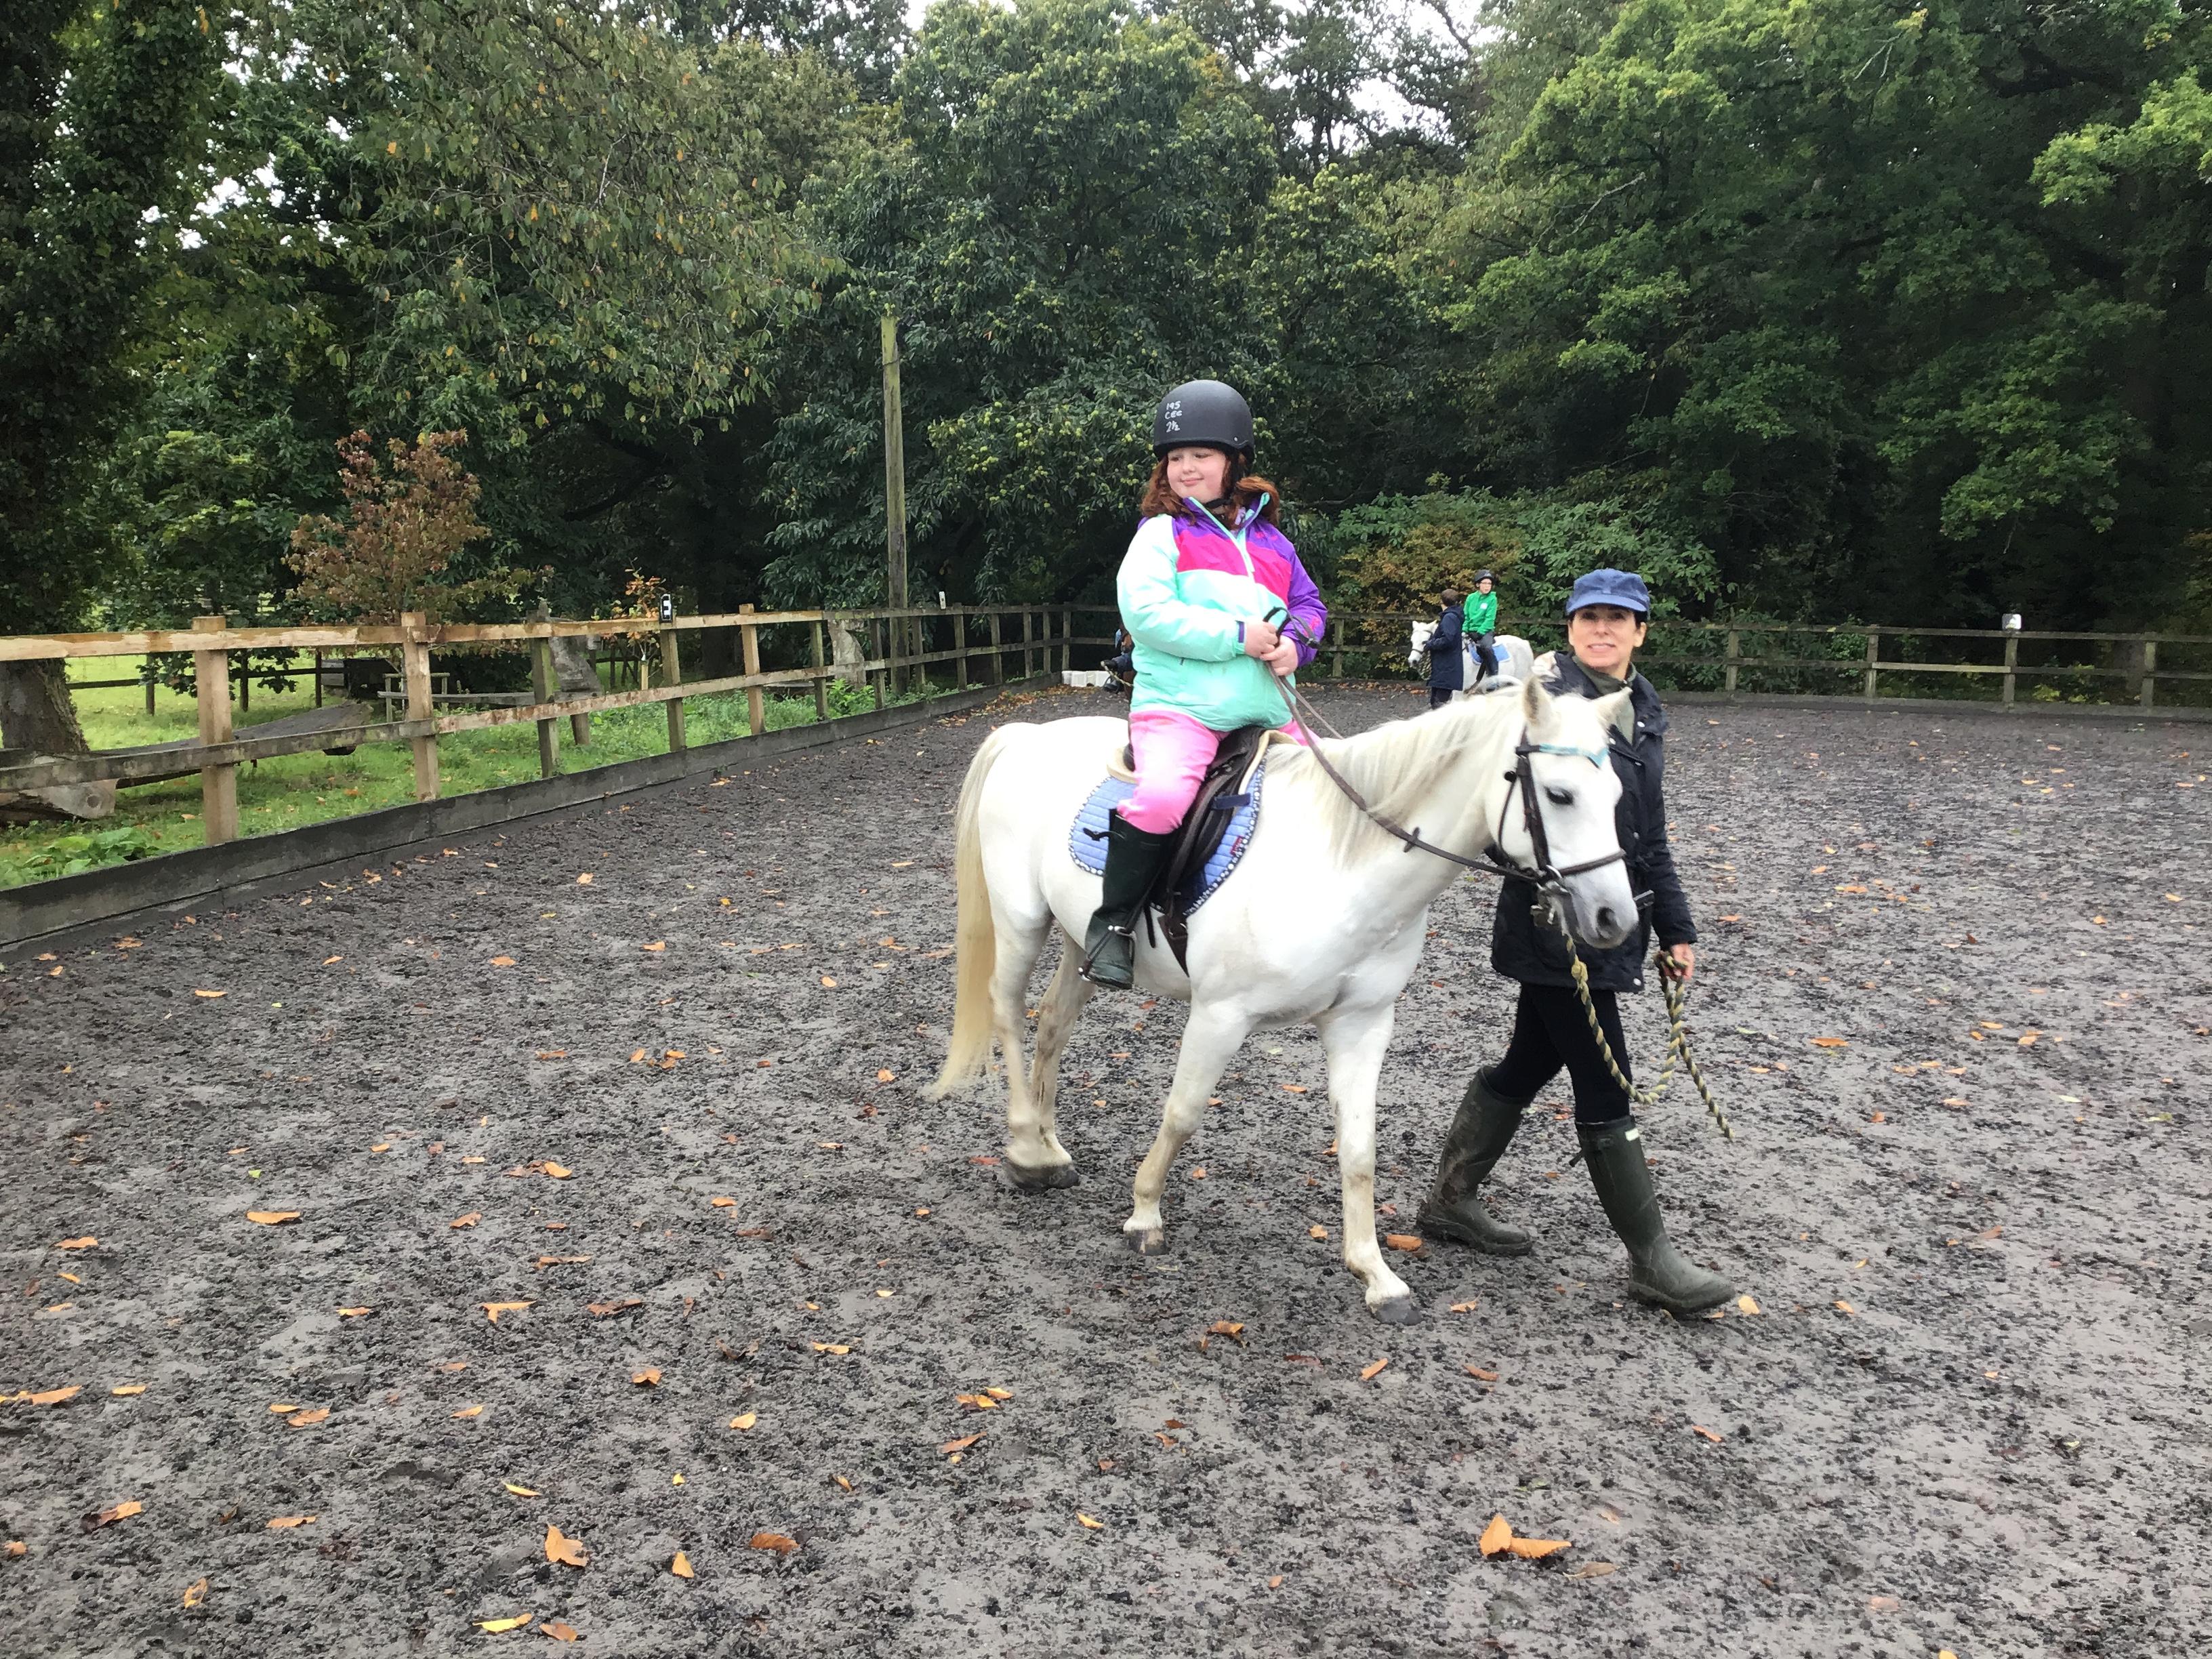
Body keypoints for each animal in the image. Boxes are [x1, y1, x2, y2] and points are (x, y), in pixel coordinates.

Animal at [925, 676, 1638, 1323]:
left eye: (1618, 797)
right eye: (1560, 794)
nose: (1616, 919)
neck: (1342, 866)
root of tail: (1025, 735)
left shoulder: (1362, 1024)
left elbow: (1359, 1148)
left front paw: (1377, 1275)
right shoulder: (1220, 1014)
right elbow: (1182, 1114)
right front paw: (1145, 1214)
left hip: (1083, 942)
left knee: (1053, 1025)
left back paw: (1049, 1147)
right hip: (1022, 921)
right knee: (1009, 1015)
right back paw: (1025, 1152)